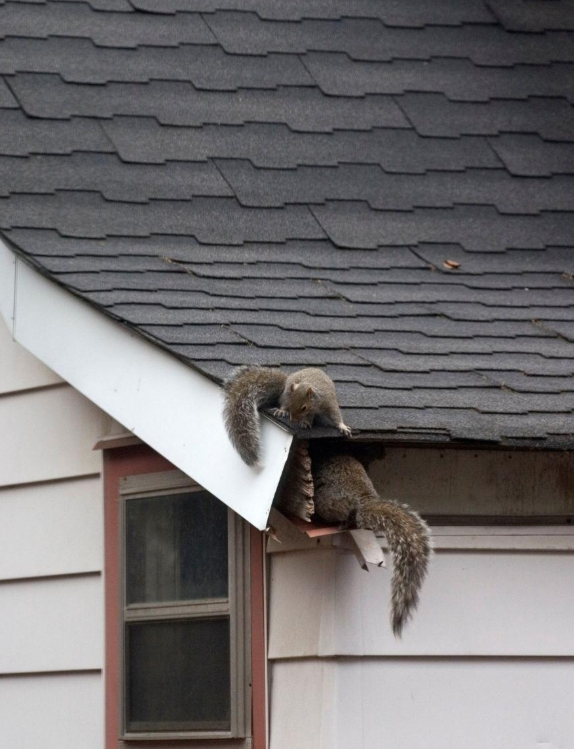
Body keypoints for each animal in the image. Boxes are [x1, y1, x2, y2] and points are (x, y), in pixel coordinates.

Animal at [223, 365, 352, 467]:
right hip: (286, 392)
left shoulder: (328, 402)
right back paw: (283, 411)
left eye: (304, 407)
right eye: (291, 404)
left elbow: (335, 414)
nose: (292, 419)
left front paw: (342, 426)